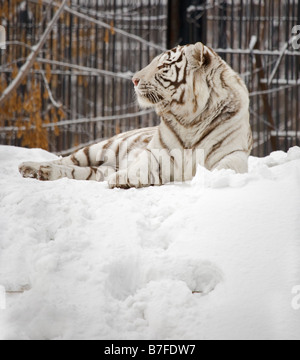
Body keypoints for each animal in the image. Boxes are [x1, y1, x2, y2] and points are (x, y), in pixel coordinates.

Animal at [19, 43, 253, 188]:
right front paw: (123, 178)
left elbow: (226, 167)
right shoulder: (158, 154)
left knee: (81, 171)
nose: (134, 79)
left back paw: (45, 172)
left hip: (98, 169)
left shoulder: (233, 154)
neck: (190, 120)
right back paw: (31, 167)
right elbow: (142, 166)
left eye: (163, 66)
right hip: (100, 147)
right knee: (67, 160)